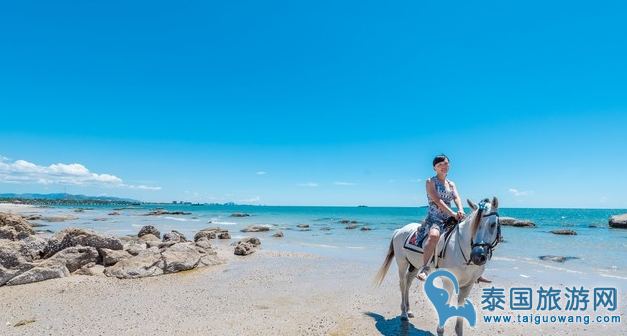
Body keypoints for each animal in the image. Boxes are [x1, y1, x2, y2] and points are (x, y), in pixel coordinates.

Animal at [376, 197, 502, 336]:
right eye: (473, 226)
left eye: (493, 224)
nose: (478, 256)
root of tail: (400, 230)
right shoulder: (449, 283)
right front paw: (440, 330)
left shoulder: (467, 286)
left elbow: (460, 320)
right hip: (402, 264)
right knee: (403, 284)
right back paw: (404, 313)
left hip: (414, 266)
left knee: (408, 284)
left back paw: (409, 311)